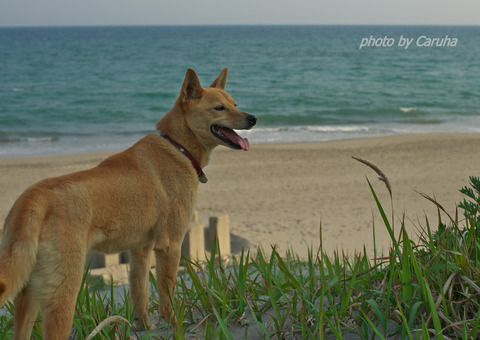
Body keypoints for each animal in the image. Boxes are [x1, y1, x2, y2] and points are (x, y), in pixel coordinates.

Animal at [0, 67, 256, 338]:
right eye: (219, 108)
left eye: (235, 104)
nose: (253, 118)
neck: (178, 146)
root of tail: (32, 199)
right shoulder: (170, 245)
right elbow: (168, 297)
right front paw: (175, 327)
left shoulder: (141, 250)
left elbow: (139, 293)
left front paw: (144, 327)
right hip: (63, 294)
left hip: (27, 295)